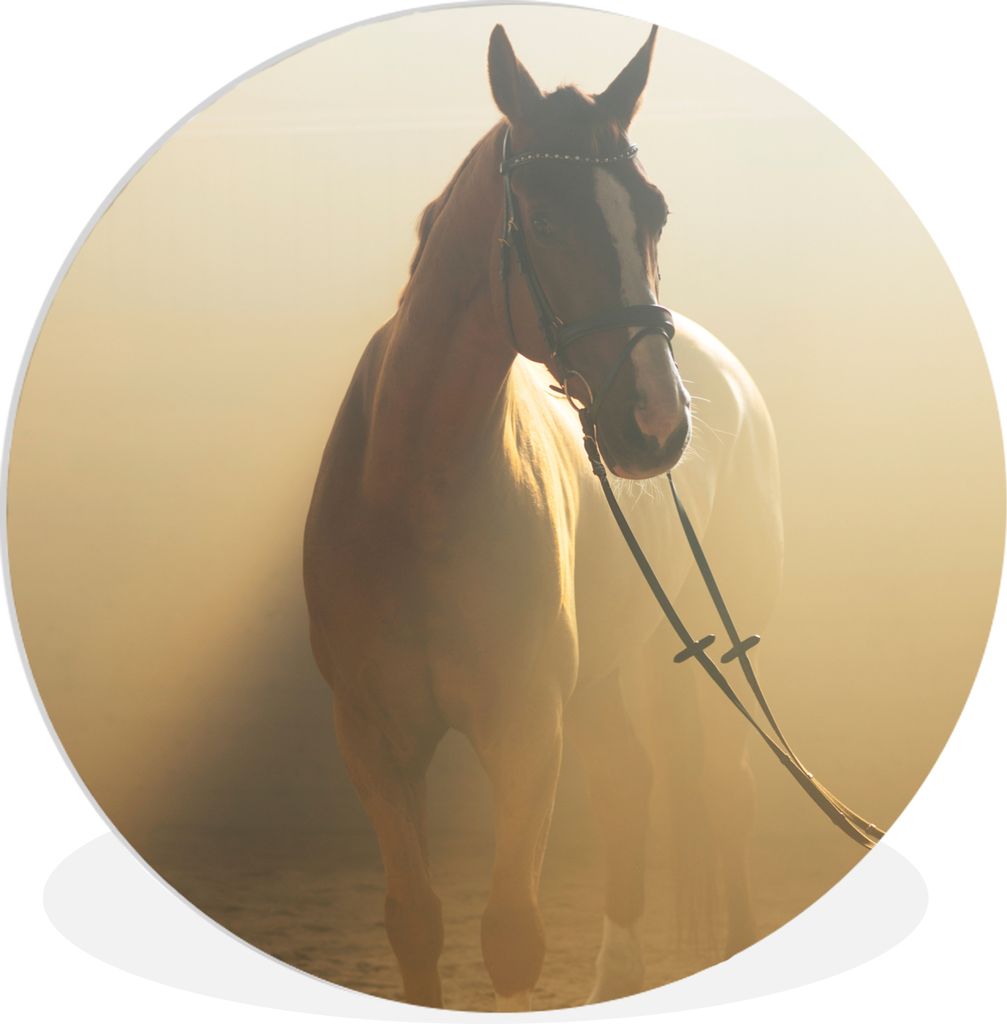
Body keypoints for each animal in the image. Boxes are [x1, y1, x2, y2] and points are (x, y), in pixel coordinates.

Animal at [303, 24, 783, 1010]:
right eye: (547, 219)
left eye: (653, 215)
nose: (655, 424)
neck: (416, 498)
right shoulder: (374, 739)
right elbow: (417, 923)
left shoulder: (525, 731)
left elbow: (512, 938)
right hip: (597, 679)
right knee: (630, 787)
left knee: (726, 795)